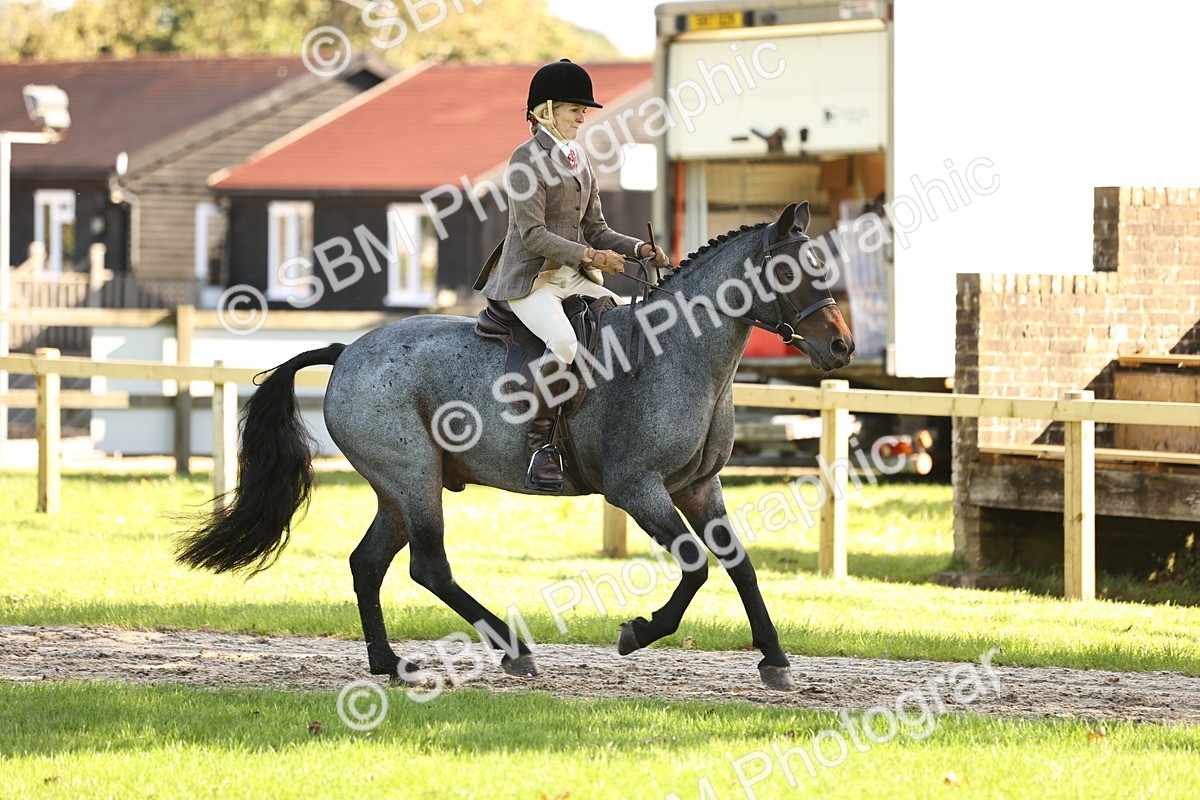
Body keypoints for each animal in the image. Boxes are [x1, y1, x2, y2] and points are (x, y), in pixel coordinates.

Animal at [176, 201, 855, 691]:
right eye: (792, 271)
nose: (842, 347)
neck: (679, 352)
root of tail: (348, 351)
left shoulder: (698, 486)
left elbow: (740, 564)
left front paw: (774, 659)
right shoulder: (637, 489)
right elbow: (696, 565)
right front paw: (638, 632)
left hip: (397, 488)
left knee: (368, 564)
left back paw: (391, 664)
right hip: (413, 477)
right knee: (429, 566)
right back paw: (514, 651)